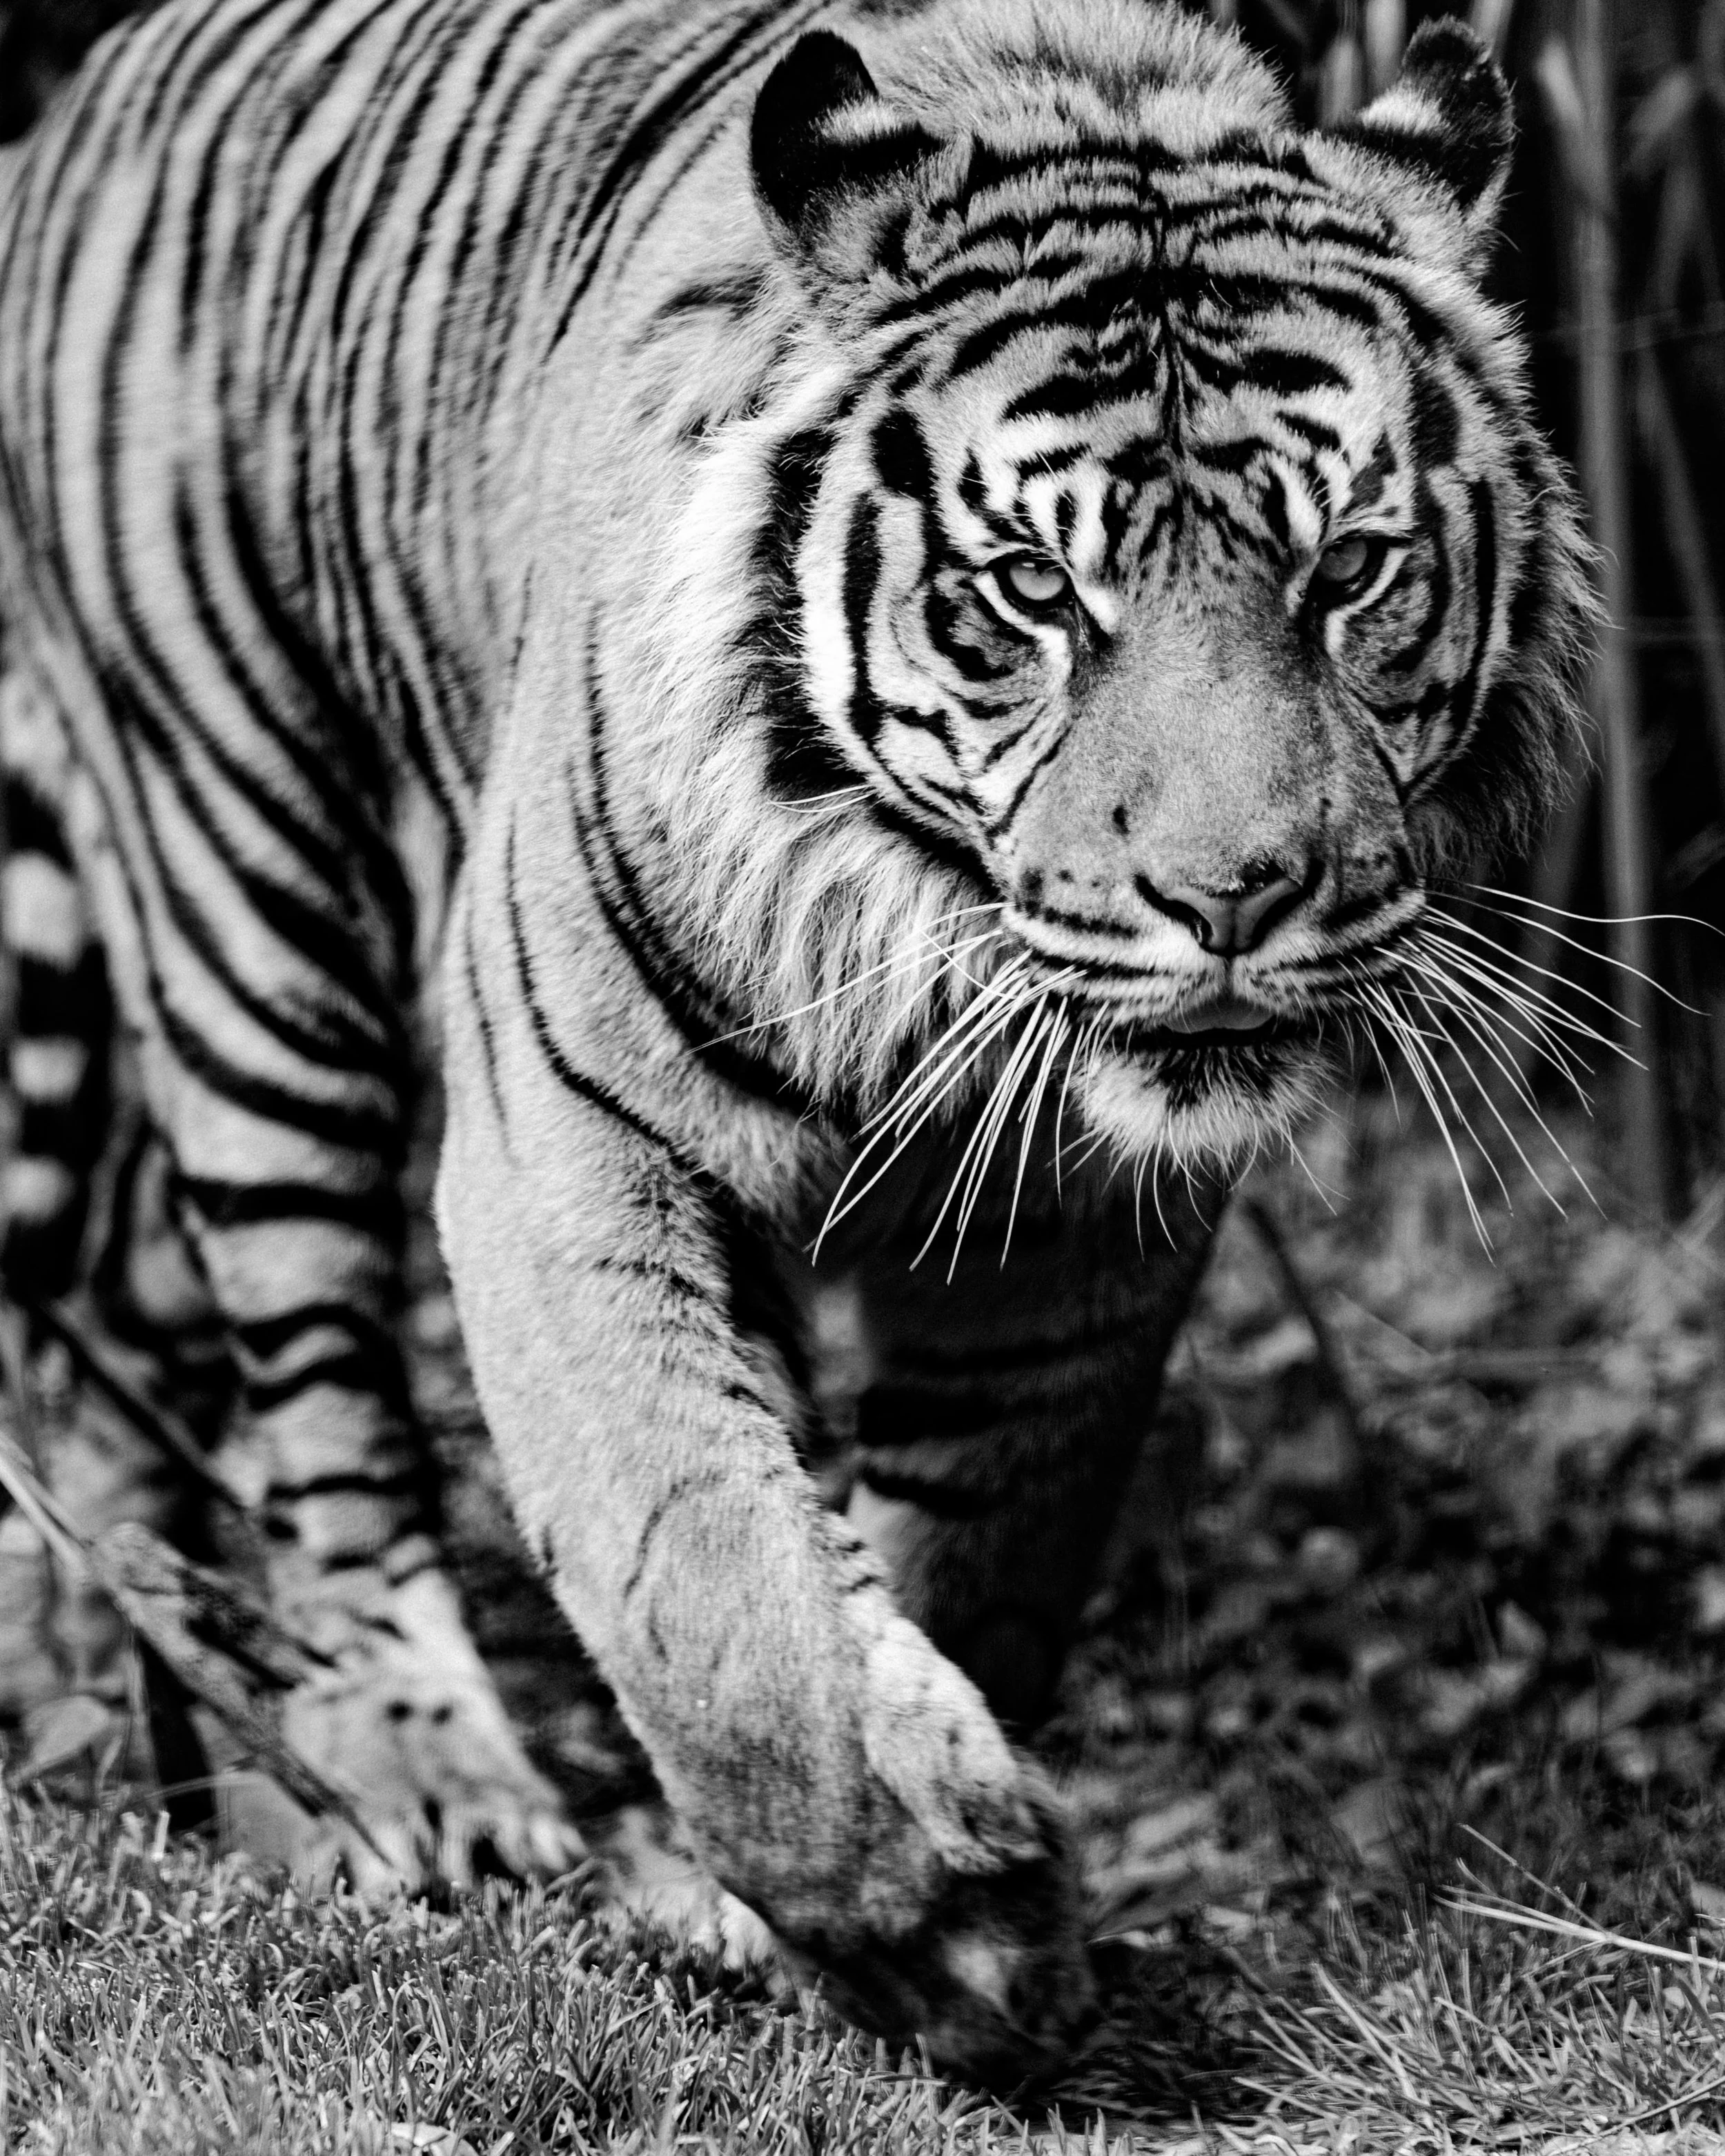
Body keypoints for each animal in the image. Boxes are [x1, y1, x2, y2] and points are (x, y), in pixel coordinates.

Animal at [0, 0, 1594, 2079]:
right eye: (1031, 590)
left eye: (1349, 572)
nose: (1236, 895)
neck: (921, 942)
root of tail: (94, 87)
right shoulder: (568, 1139)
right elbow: (700, 1571)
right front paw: (933, 1902)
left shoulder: (1074, 1239)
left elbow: (969, 1541)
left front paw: (931, 1895)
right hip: (245, 900)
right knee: (318, 1411)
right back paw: (426, 1790)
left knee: (123, 1336)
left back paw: (194, 1756)